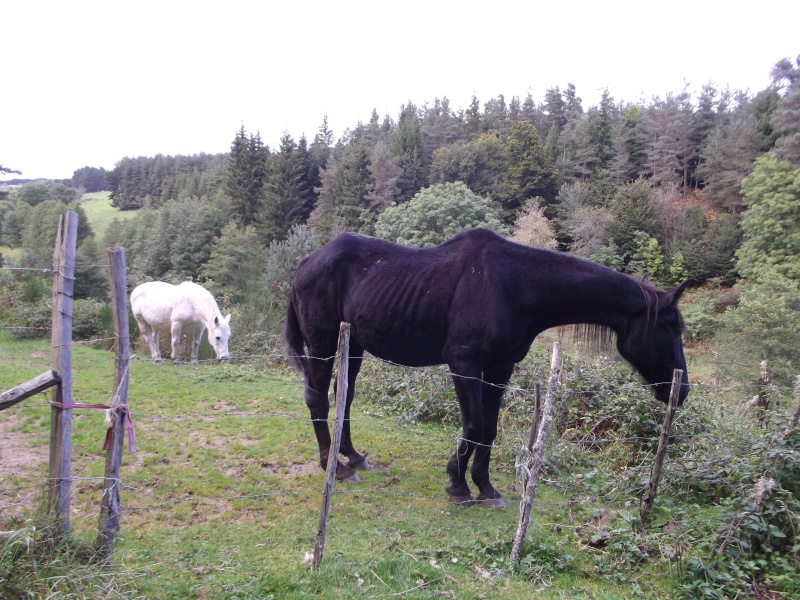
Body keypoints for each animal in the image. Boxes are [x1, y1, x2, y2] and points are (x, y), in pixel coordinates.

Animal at [286, 227, 688, 508]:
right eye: (672, 329)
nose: (681, 390)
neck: (515, 285)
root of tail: (305, 263)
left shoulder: (500, 367)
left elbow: (489, 429)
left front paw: (485, 486)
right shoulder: (464, 362)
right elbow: (475, 424)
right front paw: (458, 484)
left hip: (353, 345)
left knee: (344, 397)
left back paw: (352, 457)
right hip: (322, 343)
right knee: (318, 399)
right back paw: (335, 467)